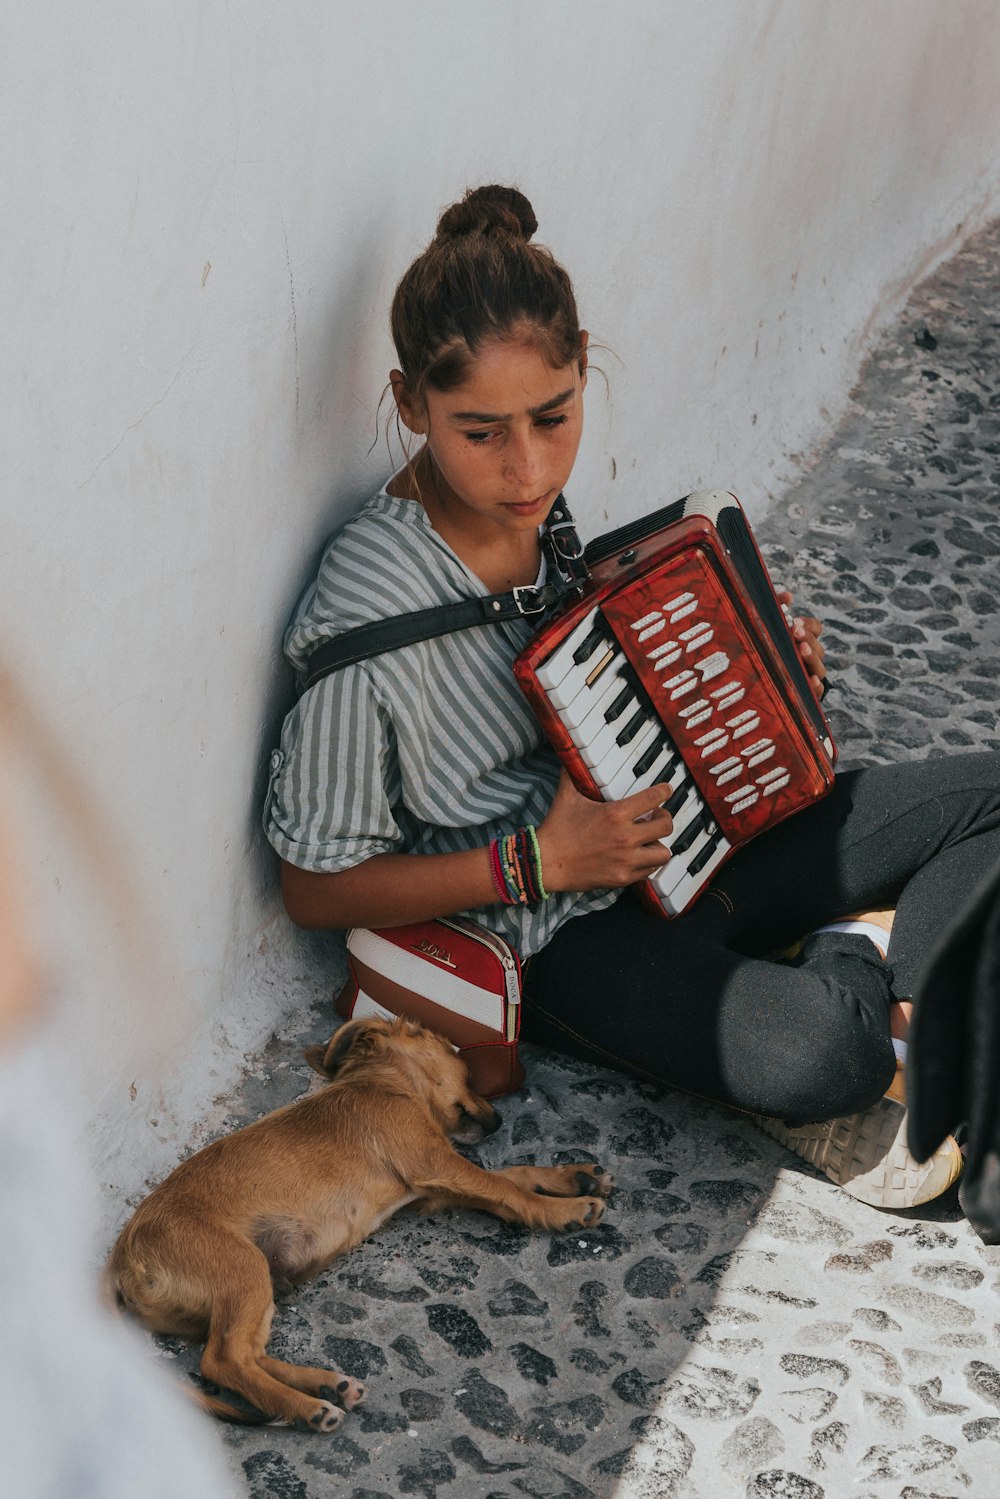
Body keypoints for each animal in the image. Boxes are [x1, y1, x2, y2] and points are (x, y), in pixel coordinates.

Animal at [105, 1013, 614, 1433]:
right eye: (467, 1071)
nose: (499, 1119)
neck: (383, 1083)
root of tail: (118, 1262)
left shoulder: (433, 1189)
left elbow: (514, 1177)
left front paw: (574, 1177)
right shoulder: (438, 1164)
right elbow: (507, 1187)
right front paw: (567, 1209)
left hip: (256, 1287)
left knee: (248, 1354)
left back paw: (326, 1385)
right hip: (243, 1269)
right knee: (221, 1361)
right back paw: (309, 1407)